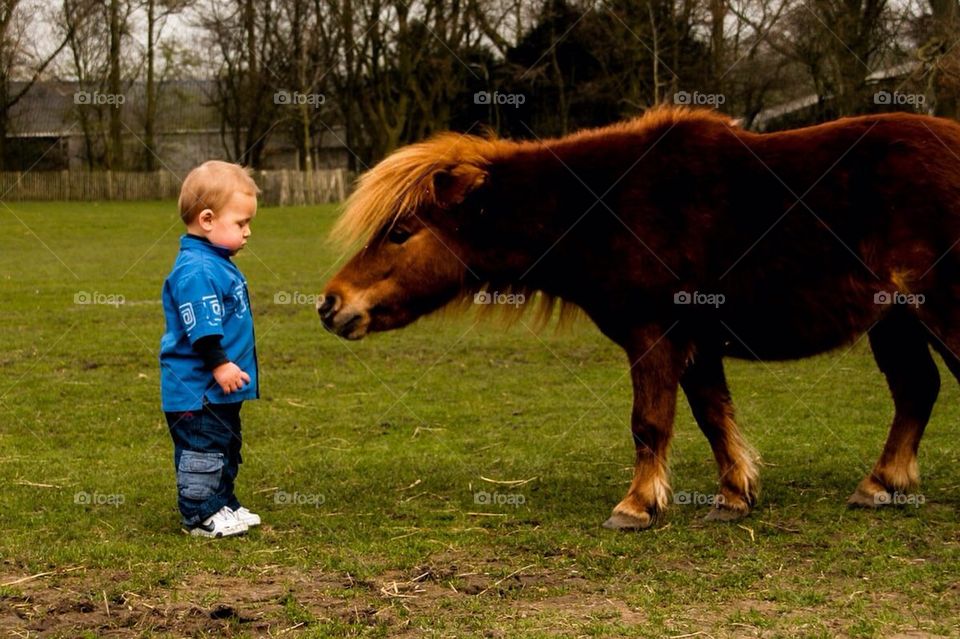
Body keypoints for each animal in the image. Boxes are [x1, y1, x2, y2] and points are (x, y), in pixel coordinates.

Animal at [318, 106, 960, 530]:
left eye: (401, 232)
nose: (330, 304)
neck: (605, 208)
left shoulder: (654, 336)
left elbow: (649, 422)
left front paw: (637, 505)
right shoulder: (696, 344)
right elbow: (712, 417)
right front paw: (735, 495)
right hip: (897, 322)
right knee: (916, 390)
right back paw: (880, 485)